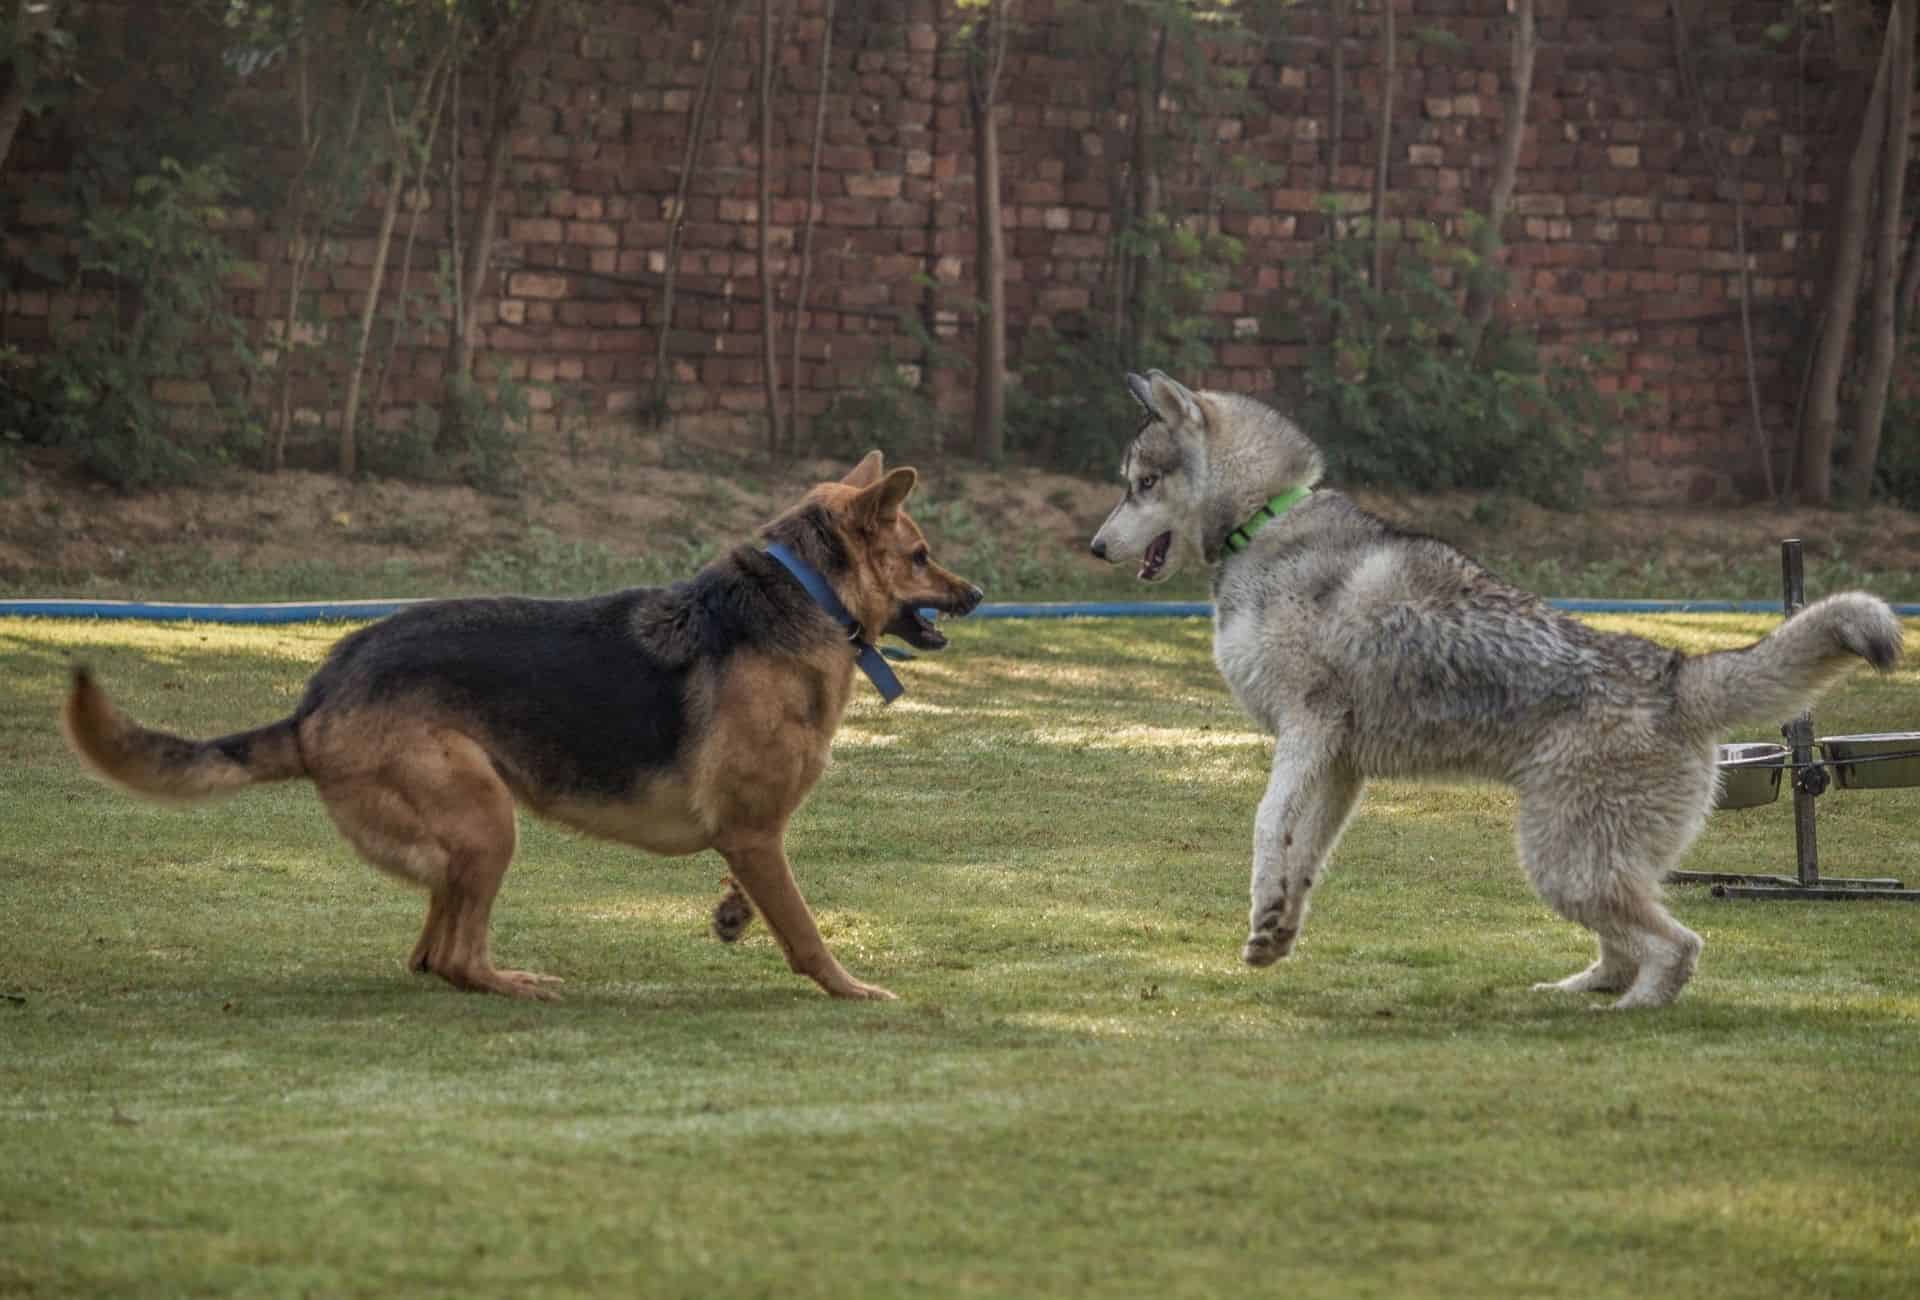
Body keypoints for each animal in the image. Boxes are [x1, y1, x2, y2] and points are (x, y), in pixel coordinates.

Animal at [67, 457, 983, 1006]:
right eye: (920, 554)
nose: (975, 595)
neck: (805, 599)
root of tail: (315, 701)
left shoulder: (751, 832)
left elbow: (763, 892)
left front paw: (731, 913)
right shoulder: (755, 829)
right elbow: (804, 926)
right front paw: (847, 987)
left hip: (469, 831)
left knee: (430, 955)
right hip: (487, 821)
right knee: (455, 959)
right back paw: (520, 981)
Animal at [1098, 370, 1904, 1006]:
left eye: (1143, 484)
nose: (1096, 547)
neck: (1265, 522)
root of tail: (1676, 671)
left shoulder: (1307, 732)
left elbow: (1269, 829)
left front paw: (1265, 903)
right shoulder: (1338, 765)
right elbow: (1306, 858)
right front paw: (1275, 928)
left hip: (1563, 865)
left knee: (1677, 948)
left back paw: (1632, 1011)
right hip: (1580, 867)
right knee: (1626, 948)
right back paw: (1576, 990)